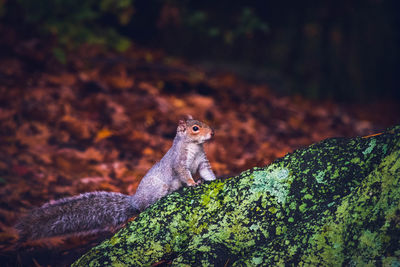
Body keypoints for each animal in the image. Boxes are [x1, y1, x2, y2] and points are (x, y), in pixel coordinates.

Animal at [16, 118, 216, 242]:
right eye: (195, 128)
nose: (213, 133)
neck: (194, 147)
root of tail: (134, 200)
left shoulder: (202, 162)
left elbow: (207, 172)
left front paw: (212, 180)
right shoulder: (179, 162)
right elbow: (184, 174)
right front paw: (192, 183)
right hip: (157, 188)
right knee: (145, 207)